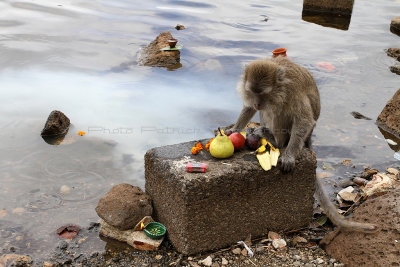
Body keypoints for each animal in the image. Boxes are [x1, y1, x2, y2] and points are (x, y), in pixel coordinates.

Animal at [230, 57, 376, 234]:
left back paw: (274, 140)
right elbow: (248, 108)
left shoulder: (291, 92)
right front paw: (234, 129)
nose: (258, 104)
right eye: (252, 92)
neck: (279, 86)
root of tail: (310, 137)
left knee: (280, 113)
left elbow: (303, 120)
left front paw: (289, 156)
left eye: (263, 93)